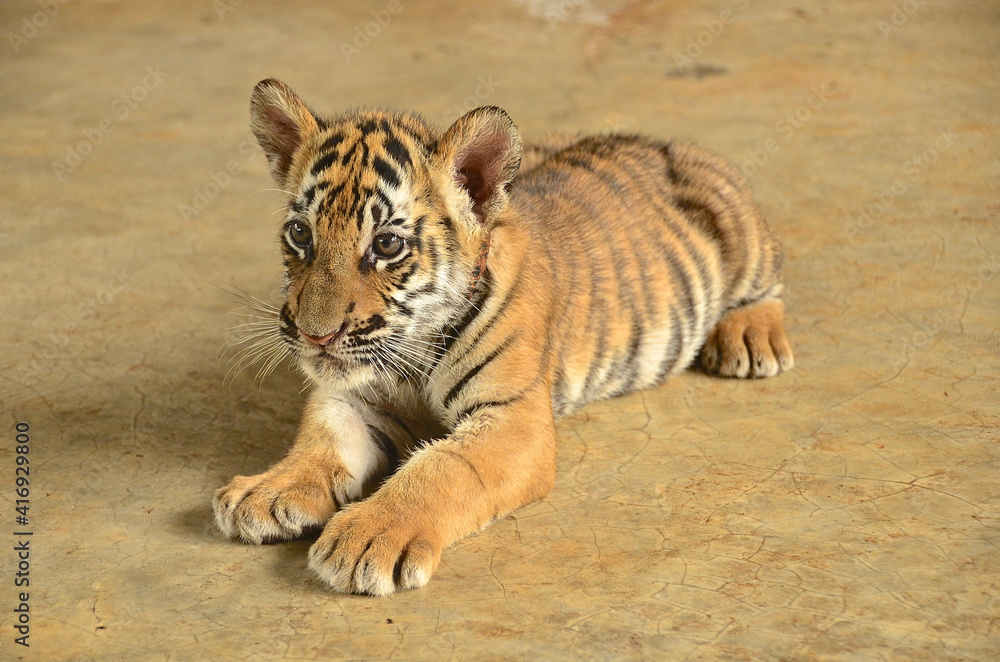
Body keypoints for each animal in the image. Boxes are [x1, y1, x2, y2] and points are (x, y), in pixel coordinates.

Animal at [213, 78, 793, 596]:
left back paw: (751, 338)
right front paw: (267, 490)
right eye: (300, 234)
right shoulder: (354, 396)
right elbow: (321, 437)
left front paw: (365, 539)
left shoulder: (513, 419)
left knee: (769, 283)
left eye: (387, 244)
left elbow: (440, 467)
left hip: (742, 235)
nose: (315, 336)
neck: (414, 343)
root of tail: (653, 139)